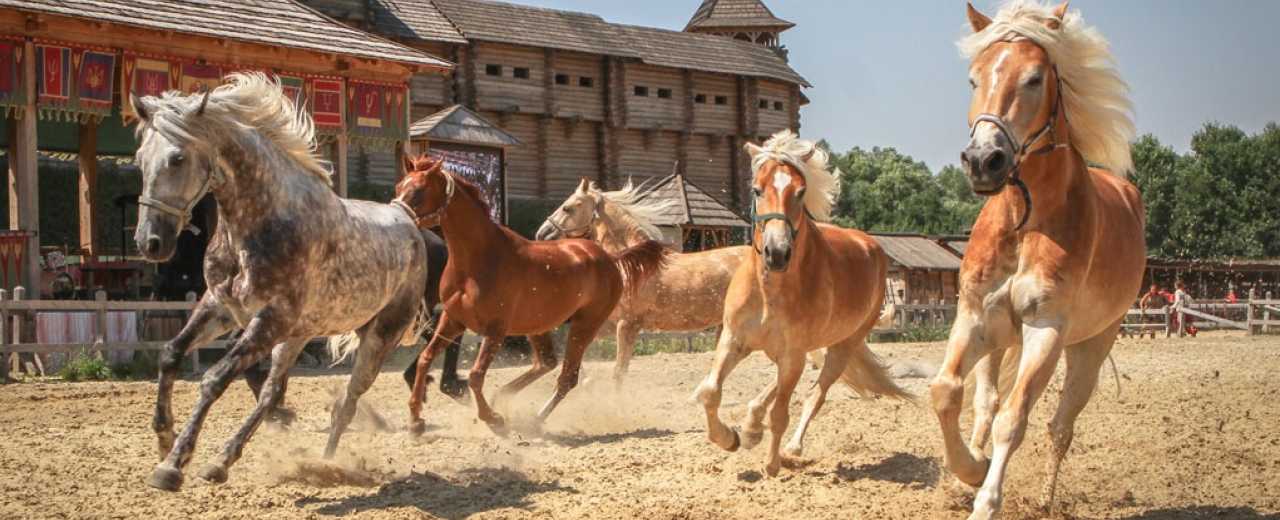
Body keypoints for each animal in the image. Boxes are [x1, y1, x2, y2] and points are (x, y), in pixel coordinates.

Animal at [132, 74, 430, 491]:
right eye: (139, 159)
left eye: (177, 158)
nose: (150, 243)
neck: (260, 223)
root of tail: (407, 219)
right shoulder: (221, 307)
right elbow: (171, 353)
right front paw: (164, 438)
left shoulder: (271, 319)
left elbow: (214, 379)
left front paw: (173, 465)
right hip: (297, 336)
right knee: (274, 393)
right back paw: (222, 461)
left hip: (377, 337)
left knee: (346, 402)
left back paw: (325, 463)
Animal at [394, 156, 665, 432]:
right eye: (399, 187)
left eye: (419, 191)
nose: (397, 220)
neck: (476, 261)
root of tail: (610, 258)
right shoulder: (452, 320)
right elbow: (425, 359)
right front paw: (415, 420)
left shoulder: (495, 329)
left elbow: (476, 375)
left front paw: (493, 419)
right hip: (539, 326)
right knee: (547, 363)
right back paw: (503, 398)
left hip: (586, 325)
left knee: (568, 376)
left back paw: (534, 419)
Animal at [532, 179, 747, 386]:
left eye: (567, 208)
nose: (541, 233)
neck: (632, 265)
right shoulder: (608, 324)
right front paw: (583, 381)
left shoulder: (627, 325)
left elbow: (618, 373)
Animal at [691, 130, 911, 476]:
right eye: (757, 189)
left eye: (800, 191)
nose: (777, 253)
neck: (770, 292)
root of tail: (871, 244)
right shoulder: (733, 339)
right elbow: (710, 392)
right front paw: (730, 438)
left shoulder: (792, 354)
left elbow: (782, 413)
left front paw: (772, 464)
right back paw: (752, 427)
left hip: (842, 347)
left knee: (814, 395)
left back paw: (791, 448)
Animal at [931, 2, 1152, 517]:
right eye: (973, 79)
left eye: (1034, 78)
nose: (982, 160)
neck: (1023, 220)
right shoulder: (974, 317)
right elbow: (948, 393)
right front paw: (968, 470)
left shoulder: (1045, 330)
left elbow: (1015, 419)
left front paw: (986, 500)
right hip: (998, 341)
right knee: (985, 403)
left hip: (1091, 348)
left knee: (1060, 426)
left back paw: (1046, 501)